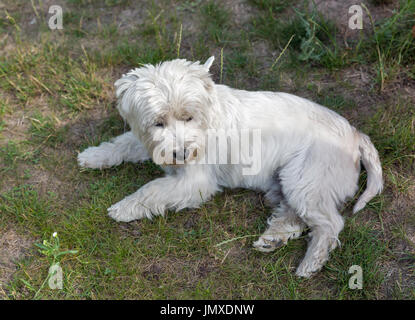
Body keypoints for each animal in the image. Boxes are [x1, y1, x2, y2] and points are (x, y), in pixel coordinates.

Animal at [78, 57, 384, 278]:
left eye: (188, 117)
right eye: (158, 122)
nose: (182, 153)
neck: (205, 118)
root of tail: (356, 135)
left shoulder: (194, 182)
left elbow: (152, 190)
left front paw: (123, 207)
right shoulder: (150, 143)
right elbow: (122, 144)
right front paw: (92, 156)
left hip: (305, 179)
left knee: (330, 224)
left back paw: (310, 263)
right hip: (289, 181)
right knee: (295, 216)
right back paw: (272, 240)